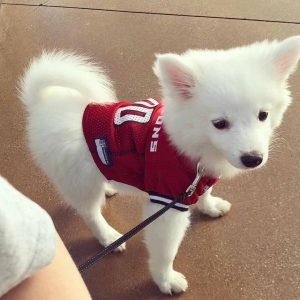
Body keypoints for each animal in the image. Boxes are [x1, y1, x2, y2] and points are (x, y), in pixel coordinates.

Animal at [18, 36, 300, 294]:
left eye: (263, 115)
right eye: (219, 124)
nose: (253, 159)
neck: (191, 143)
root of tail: (42, 103)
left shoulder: (198, 178)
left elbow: (206, 191)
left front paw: (210, 206)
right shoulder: (167, 204)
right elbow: (166, 251)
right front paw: (166, 280)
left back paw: (109, 188)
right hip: (79, 182)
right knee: (90, 212)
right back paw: (108, 236)